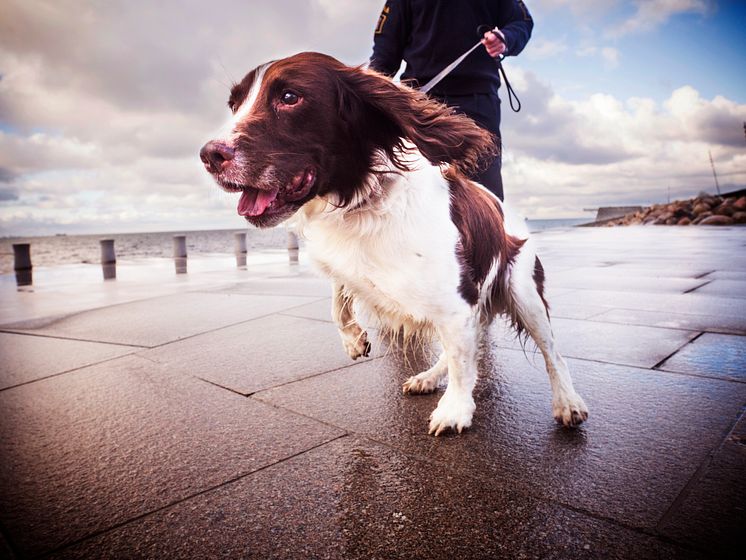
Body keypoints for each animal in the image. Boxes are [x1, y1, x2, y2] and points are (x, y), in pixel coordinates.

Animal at [199, 52, 588, 436]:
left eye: (290, 97)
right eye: (234, 105)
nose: (209, 156)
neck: (364, 204)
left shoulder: (457, 301)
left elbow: (463, 360)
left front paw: (455, 409)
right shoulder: (347, 266)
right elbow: (339, 301)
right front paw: (354, 339)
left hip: (524, 291)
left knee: (552, 352)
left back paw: (567, 403)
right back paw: (427, 377)